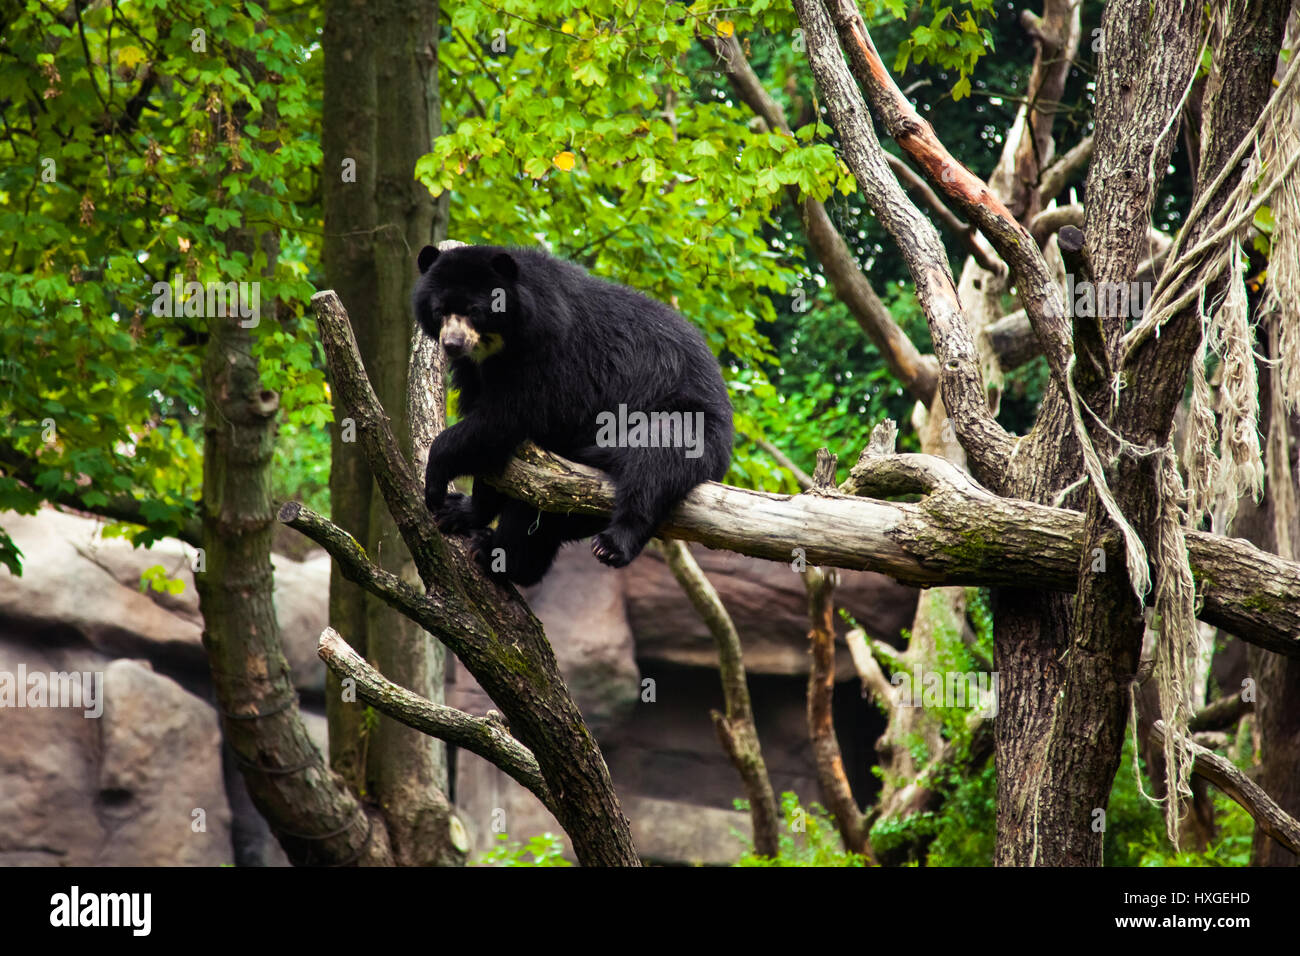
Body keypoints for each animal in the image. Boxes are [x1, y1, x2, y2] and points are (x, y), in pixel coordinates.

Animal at [413, 243, 733, 587]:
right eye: (439, 311)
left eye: (475, 311)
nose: (452, 344)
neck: (500, 347)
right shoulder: (475, 372)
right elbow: (494, 455)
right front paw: (458, 510)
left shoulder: (551, 359)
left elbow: (506, 419)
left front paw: (435, 486)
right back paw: (500, 556)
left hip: (689, 419)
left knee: (656, 458)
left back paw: (609, 544)